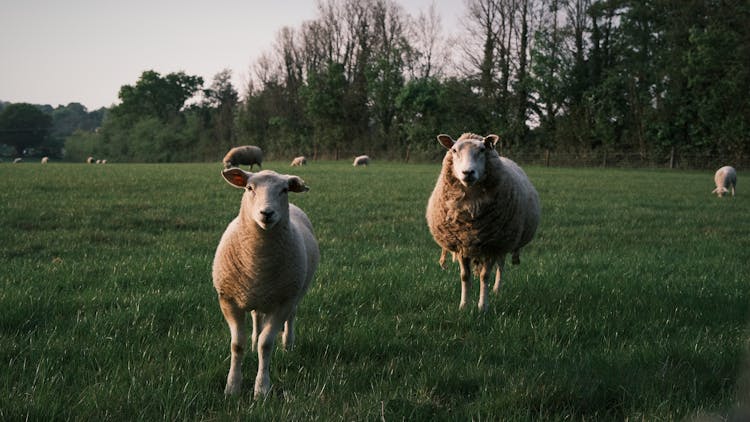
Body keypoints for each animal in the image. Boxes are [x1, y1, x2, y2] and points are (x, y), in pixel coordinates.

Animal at [212, 166, 320, 398]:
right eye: (249, 188)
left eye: (284, 190)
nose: (267, 213)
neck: (258, 262)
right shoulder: (229, 301)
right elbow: (237, 345)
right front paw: (232, 387)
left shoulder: (283, 302)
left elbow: (267, 344)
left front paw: (261, 389)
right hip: (257, 295)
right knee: (256, 317)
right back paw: (254, 341)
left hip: (295, 293)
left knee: (291, 317)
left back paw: (288, 345)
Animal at [426, 134, 544, 312]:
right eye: (454, 150)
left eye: (482, 150)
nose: (468, 172)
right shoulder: (461, 244)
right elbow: (465, 276)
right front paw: (464, 305)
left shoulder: (492, 245)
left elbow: (485, 276)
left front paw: (482, 306)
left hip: (504, 242)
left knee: (501, 266)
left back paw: (496, 290)